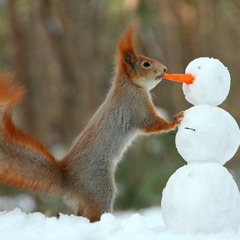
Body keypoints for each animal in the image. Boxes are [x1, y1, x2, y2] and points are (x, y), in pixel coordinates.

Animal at [0, 27, 182, 221]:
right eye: (146, 64)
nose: (165, 69)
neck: (130, 85)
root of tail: (68, 179)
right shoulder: (135, 106)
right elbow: (151, 125)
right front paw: (174, 121)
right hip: (99, 189)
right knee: (94, 213)